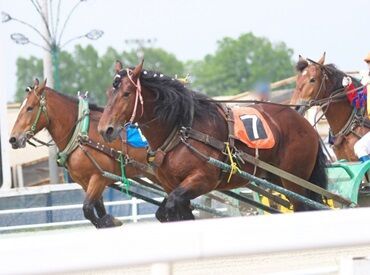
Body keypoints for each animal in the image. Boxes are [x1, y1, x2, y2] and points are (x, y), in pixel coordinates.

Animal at [9, 79, 153, 229]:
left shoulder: (98, 178)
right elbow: (97, 208)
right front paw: (108, 221)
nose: (13, 139)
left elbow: (88, 208)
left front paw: (109, 221)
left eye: (30, 108)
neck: (82, 135)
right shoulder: (84, 182)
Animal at [97, 61, 326, 222]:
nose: (105, 129)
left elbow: (172, 207)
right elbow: (168, 213)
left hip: (295, 180)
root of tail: (305, 124)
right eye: (109, 93)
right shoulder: (172, 187)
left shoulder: (202, 180)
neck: (182, 129)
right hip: (278, 178)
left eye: (127, 93)